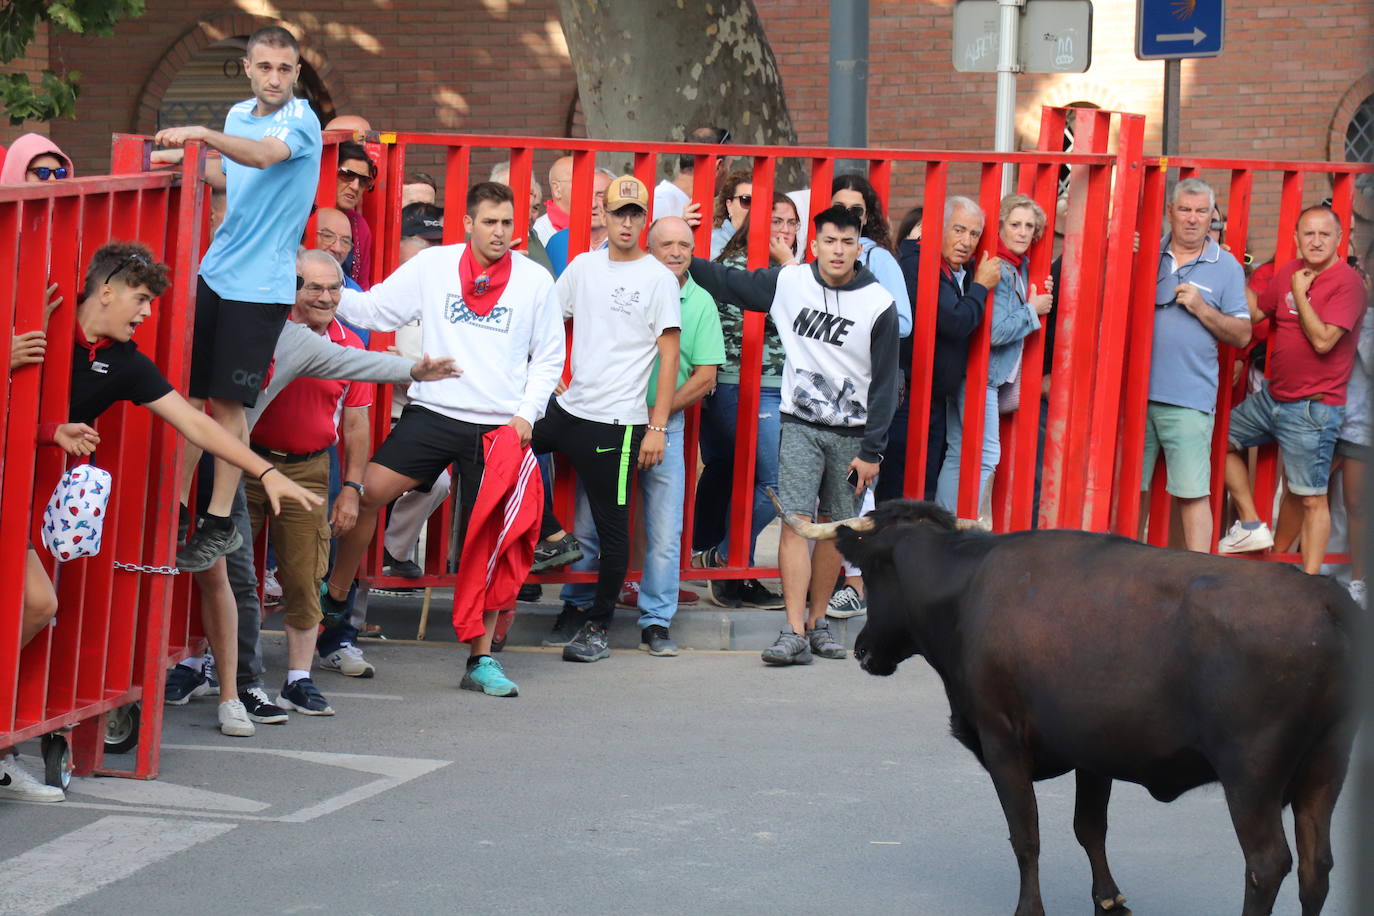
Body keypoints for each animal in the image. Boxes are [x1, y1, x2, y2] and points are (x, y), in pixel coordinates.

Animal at [780, 494, 1357, 916]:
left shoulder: (1001, 738)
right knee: (1317, 866)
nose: (862, 649)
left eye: (873, 574)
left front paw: (1029, 909)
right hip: (1326, 765)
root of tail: (1327, 600)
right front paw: (1108, 897)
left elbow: (1026, 835)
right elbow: (1088, 827)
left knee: (1267, 863)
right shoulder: (1092, 751)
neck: (966, 590)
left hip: (1252, 773)